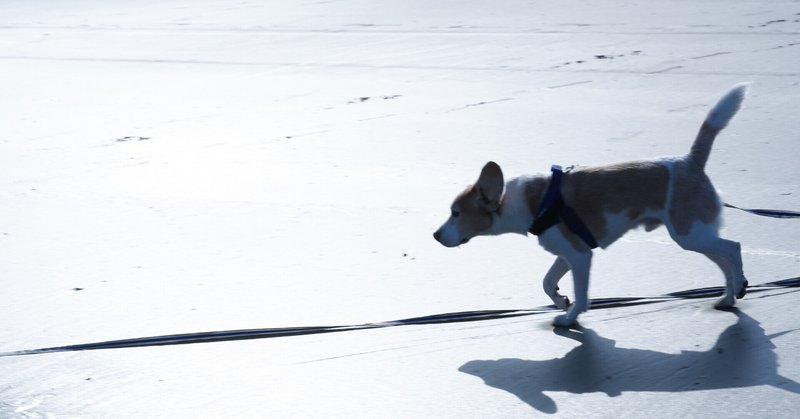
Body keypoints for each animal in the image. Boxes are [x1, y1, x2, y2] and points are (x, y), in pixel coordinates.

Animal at [434, 85, 748, 328]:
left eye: (456, 213)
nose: (435, 236)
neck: (532, 200)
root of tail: (689, 160)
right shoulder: (567, 254)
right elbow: (547, 282)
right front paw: (561, 300)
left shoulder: (580, 257)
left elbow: (582, 294)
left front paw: (570, 317)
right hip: (697, 236)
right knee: (724, 260)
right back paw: (728, 296)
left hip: (690, 234)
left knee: (733, 248)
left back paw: (740, 285)